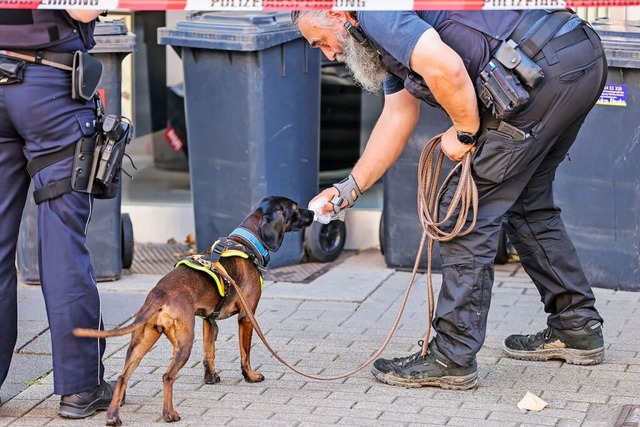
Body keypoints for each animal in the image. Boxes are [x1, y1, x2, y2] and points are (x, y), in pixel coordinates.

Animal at [74, 196, 314, 424]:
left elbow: (209, 354)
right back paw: (169, 414)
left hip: (140, 343)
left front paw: (211, 378)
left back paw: (113, 417)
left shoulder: (208, 321)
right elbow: (245, 354)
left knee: (123, 377)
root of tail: (160, 294)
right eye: (295, 208)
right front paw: (251, 376)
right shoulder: (247, 318)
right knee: (167, 376)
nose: (312, 212)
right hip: (183, 344)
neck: (246, 242)